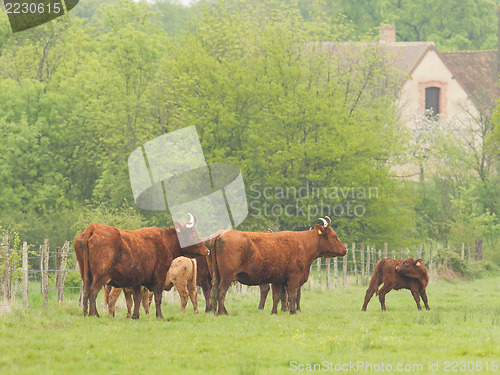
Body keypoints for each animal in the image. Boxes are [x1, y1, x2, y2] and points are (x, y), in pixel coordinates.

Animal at [73, 214, 208, 320]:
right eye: (194, 235)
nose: (207, 250)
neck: (164, 240)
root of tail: (93, 228)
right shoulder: (159, 277)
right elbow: (157, 297)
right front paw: (160, 316)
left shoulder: (137, 280)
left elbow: (137, 298)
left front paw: (135, 316)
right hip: (100, 276)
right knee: (93, 292)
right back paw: (94, 314)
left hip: (86, 275)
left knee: (86, 292)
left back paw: (87, 313)